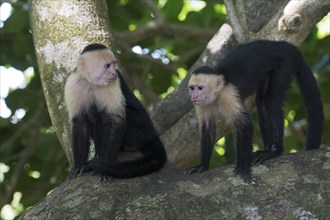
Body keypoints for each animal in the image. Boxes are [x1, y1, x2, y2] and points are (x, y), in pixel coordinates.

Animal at [65, 43, 168, 180]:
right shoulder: (73, 83)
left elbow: (115, 121)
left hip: (141, 131)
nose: (114, 73)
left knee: (104, 115)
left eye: (114, 65)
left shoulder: (113, 83)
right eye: (107, 66)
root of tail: (152, 134)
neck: (91, 82)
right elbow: (80, 123)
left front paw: (103, 166)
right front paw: (79, 165)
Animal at [186, 40, 324, 183]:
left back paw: (274, 150)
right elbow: (207, 129)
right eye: (192, 88)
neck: (218, 92)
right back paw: (267, 148)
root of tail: (286, 45)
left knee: (270, 100)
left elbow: (244, 126)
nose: (194, 96)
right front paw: (202, 166)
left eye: (200, 88)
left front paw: (242, 166)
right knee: (262, 101)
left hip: (284, 64)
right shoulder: (202, 104)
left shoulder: (228, 94)